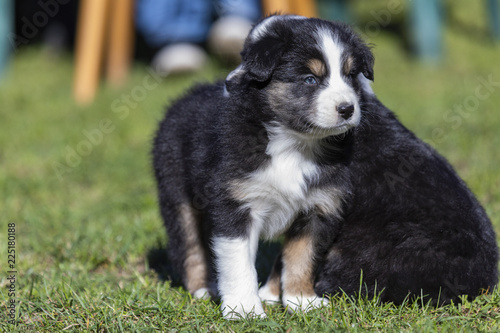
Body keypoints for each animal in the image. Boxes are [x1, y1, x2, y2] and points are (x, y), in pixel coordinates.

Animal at [153, 14, 500, 318]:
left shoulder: (322, 204)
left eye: (346, 75)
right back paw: (203, 290)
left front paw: (295, 302)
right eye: (310, 79)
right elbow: (244, 260)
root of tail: (483, 284)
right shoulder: (238, 200)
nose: (226, 84)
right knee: (188, 243)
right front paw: (248, 308)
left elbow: (297, 256)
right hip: (177, 194)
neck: (295, 143)